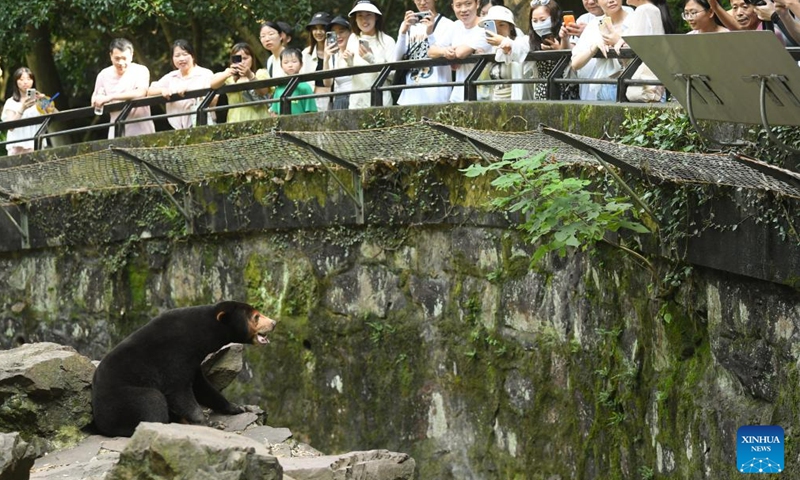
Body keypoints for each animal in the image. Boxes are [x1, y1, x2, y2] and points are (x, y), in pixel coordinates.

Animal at [92, 302, 276, 436]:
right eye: (256, 317)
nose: (274, 323)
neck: (201, 334)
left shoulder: (193, 362)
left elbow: (203, 387)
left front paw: (240, 407)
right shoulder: (175, 355)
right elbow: (179, 391)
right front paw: (212, 424)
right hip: (121, 400)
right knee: (151, 401)